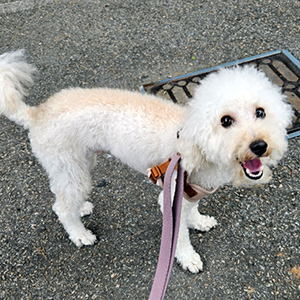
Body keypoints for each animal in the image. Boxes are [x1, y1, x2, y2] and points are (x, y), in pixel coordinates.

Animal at [0, 50, 292, 274]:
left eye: (261, 112)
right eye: (226, 121)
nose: (259, 146)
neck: (196, 147)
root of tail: (36, 114)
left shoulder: (191, 193)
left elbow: (192, 213)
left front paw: (198, 222)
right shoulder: (172, 195)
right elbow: (179, 235)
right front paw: (187, 258)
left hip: (79, 163)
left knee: (65, 197)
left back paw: (81, 208)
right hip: (69, 165)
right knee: (61, 207)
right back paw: (80, 234)